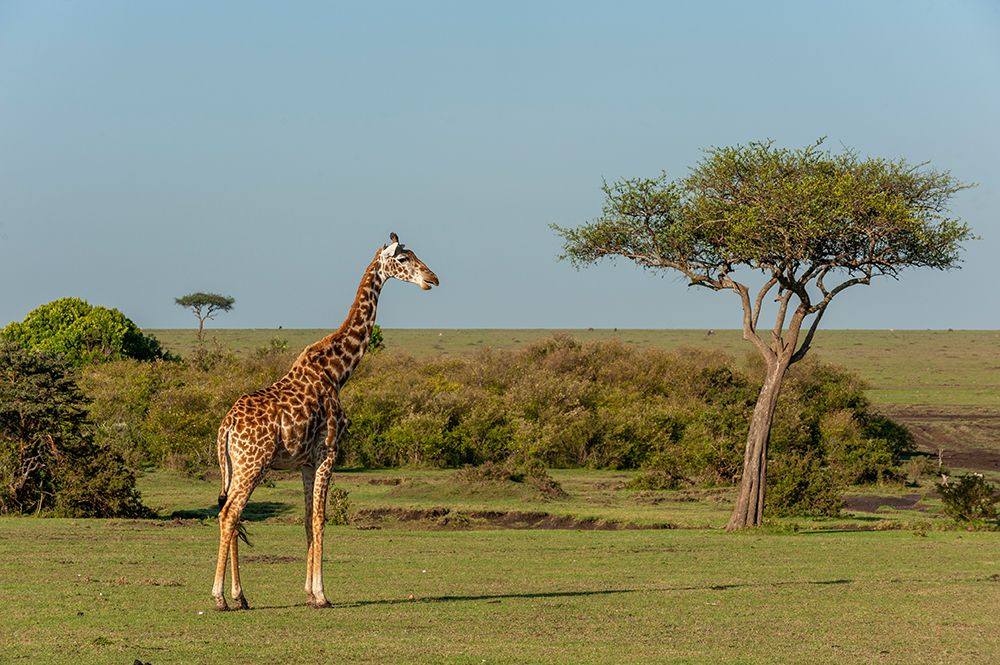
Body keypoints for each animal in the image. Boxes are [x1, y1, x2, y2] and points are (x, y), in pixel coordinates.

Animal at [211, 233, 438, 611]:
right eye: (404, 259)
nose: (432, 279)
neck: (337, 371)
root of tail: (225, 428)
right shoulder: (328, 452)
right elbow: (320, 520)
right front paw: (321, 594)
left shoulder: (306, 461)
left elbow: (306, 520)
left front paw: (308, 592)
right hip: (252, 464)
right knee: (230, 514)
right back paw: (221, 597)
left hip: (232, 467)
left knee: (233, 514)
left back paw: (239, 597)